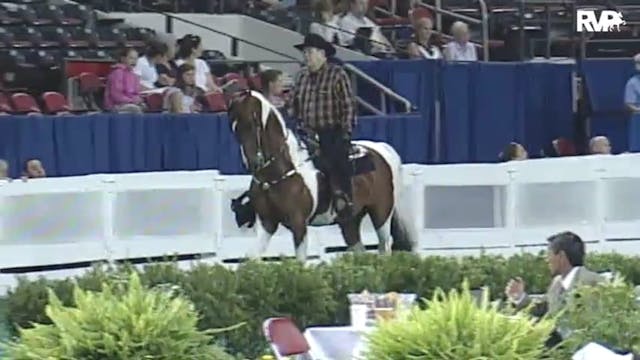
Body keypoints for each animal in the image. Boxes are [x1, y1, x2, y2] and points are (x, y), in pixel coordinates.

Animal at [228, 90, 418, 262]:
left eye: (252, 124)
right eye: (234, 129)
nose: (252, 163)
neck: (280, 171)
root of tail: (382, 149)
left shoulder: (299, 223)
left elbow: (300, 261)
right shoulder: (267, 222)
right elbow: (252, 257)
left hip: (381, 213)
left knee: (384, 248)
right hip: (350, 221)